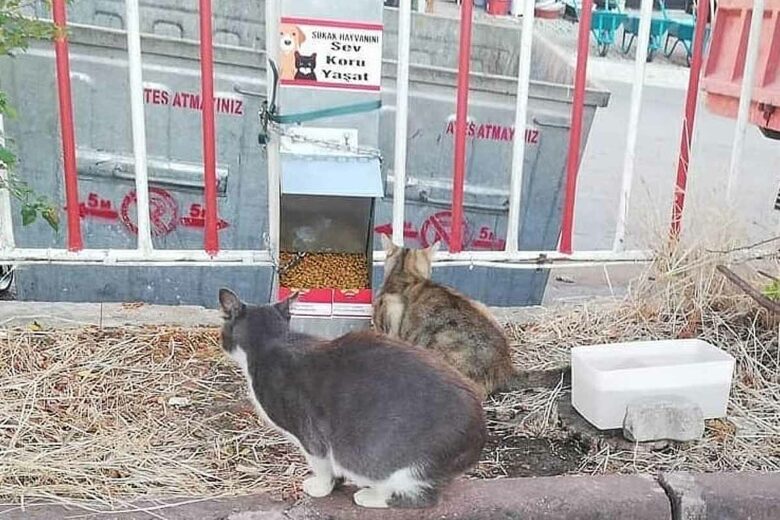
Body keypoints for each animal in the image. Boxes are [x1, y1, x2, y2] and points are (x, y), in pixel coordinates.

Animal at [219, 288, 484, 508]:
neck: (273, 343)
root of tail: (479, 432)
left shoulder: (310, 435)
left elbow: (320, 463)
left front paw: (320, 487)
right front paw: (337, 483)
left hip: (404, 464)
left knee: (422, 497)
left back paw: (370, 496)